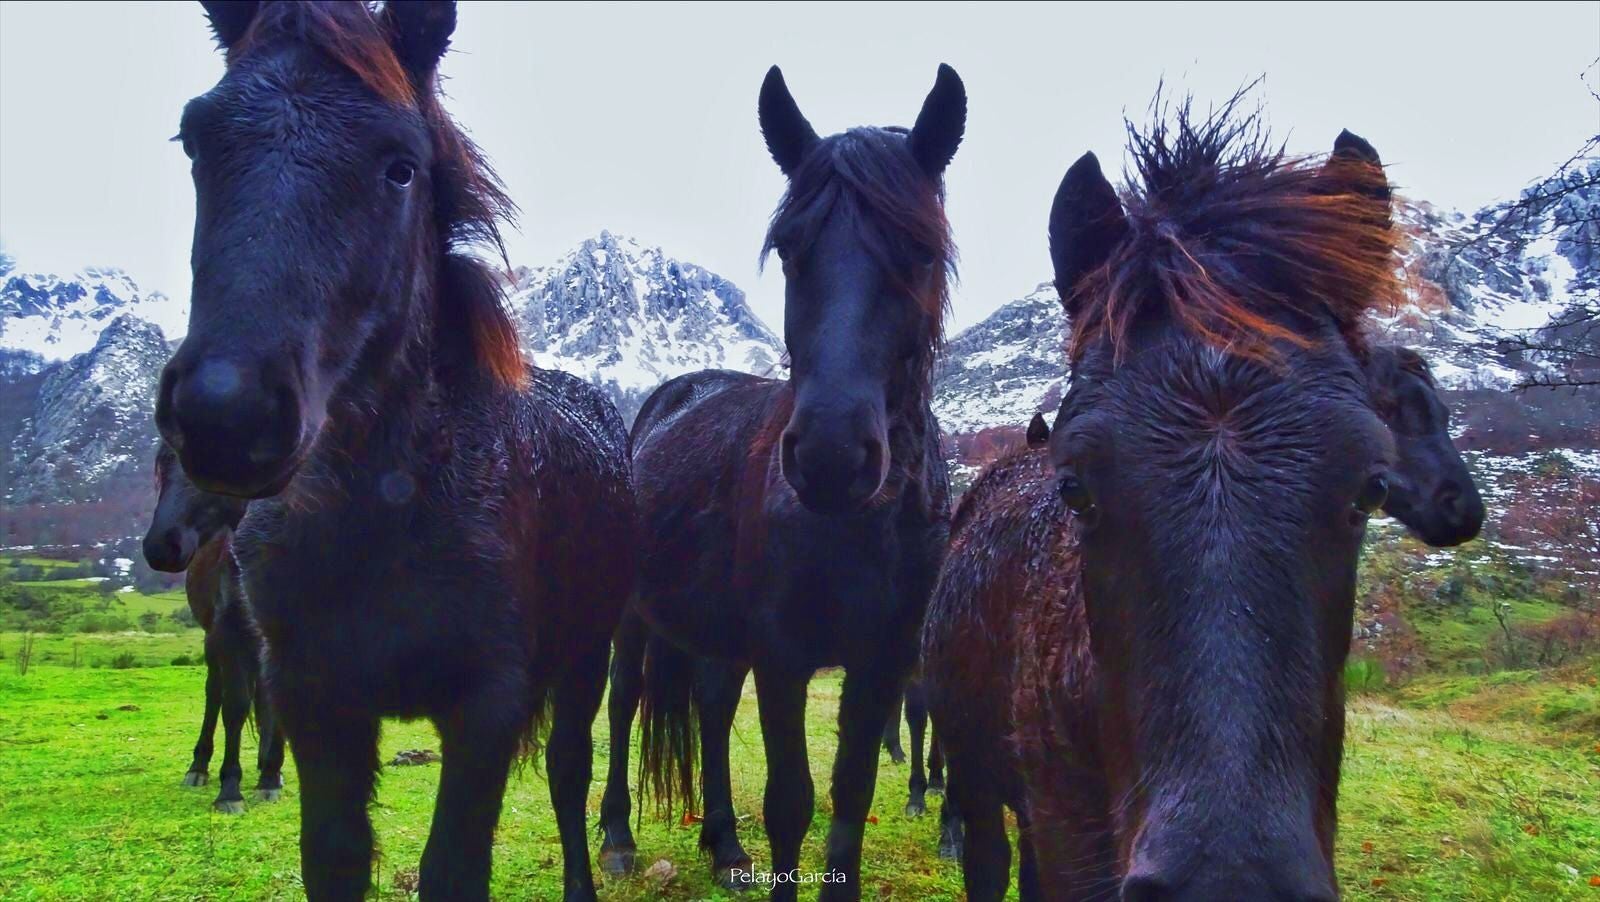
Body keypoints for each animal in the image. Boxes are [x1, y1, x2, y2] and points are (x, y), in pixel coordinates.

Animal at [142, 441, 283, 812]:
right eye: (163, 467)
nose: (162, 547)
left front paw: (270, 778)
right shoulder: (229, 636)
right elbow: (233, 707)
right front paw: (230, 790)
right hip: (213, 641)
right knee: (214, 694)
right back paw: (199, 767)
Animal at [601, 65, 960, 902]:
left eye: (921, 252)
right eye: (791, 251)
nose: (830, 454)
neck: (867, 527)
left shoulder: (880, 661)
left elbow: (851, 795)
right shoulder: (784, 653)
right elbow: (792, 802)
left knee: (707, 706)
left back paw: (726, 846)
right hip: (635, 617)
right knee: (628, 699)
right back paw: (617, 838)